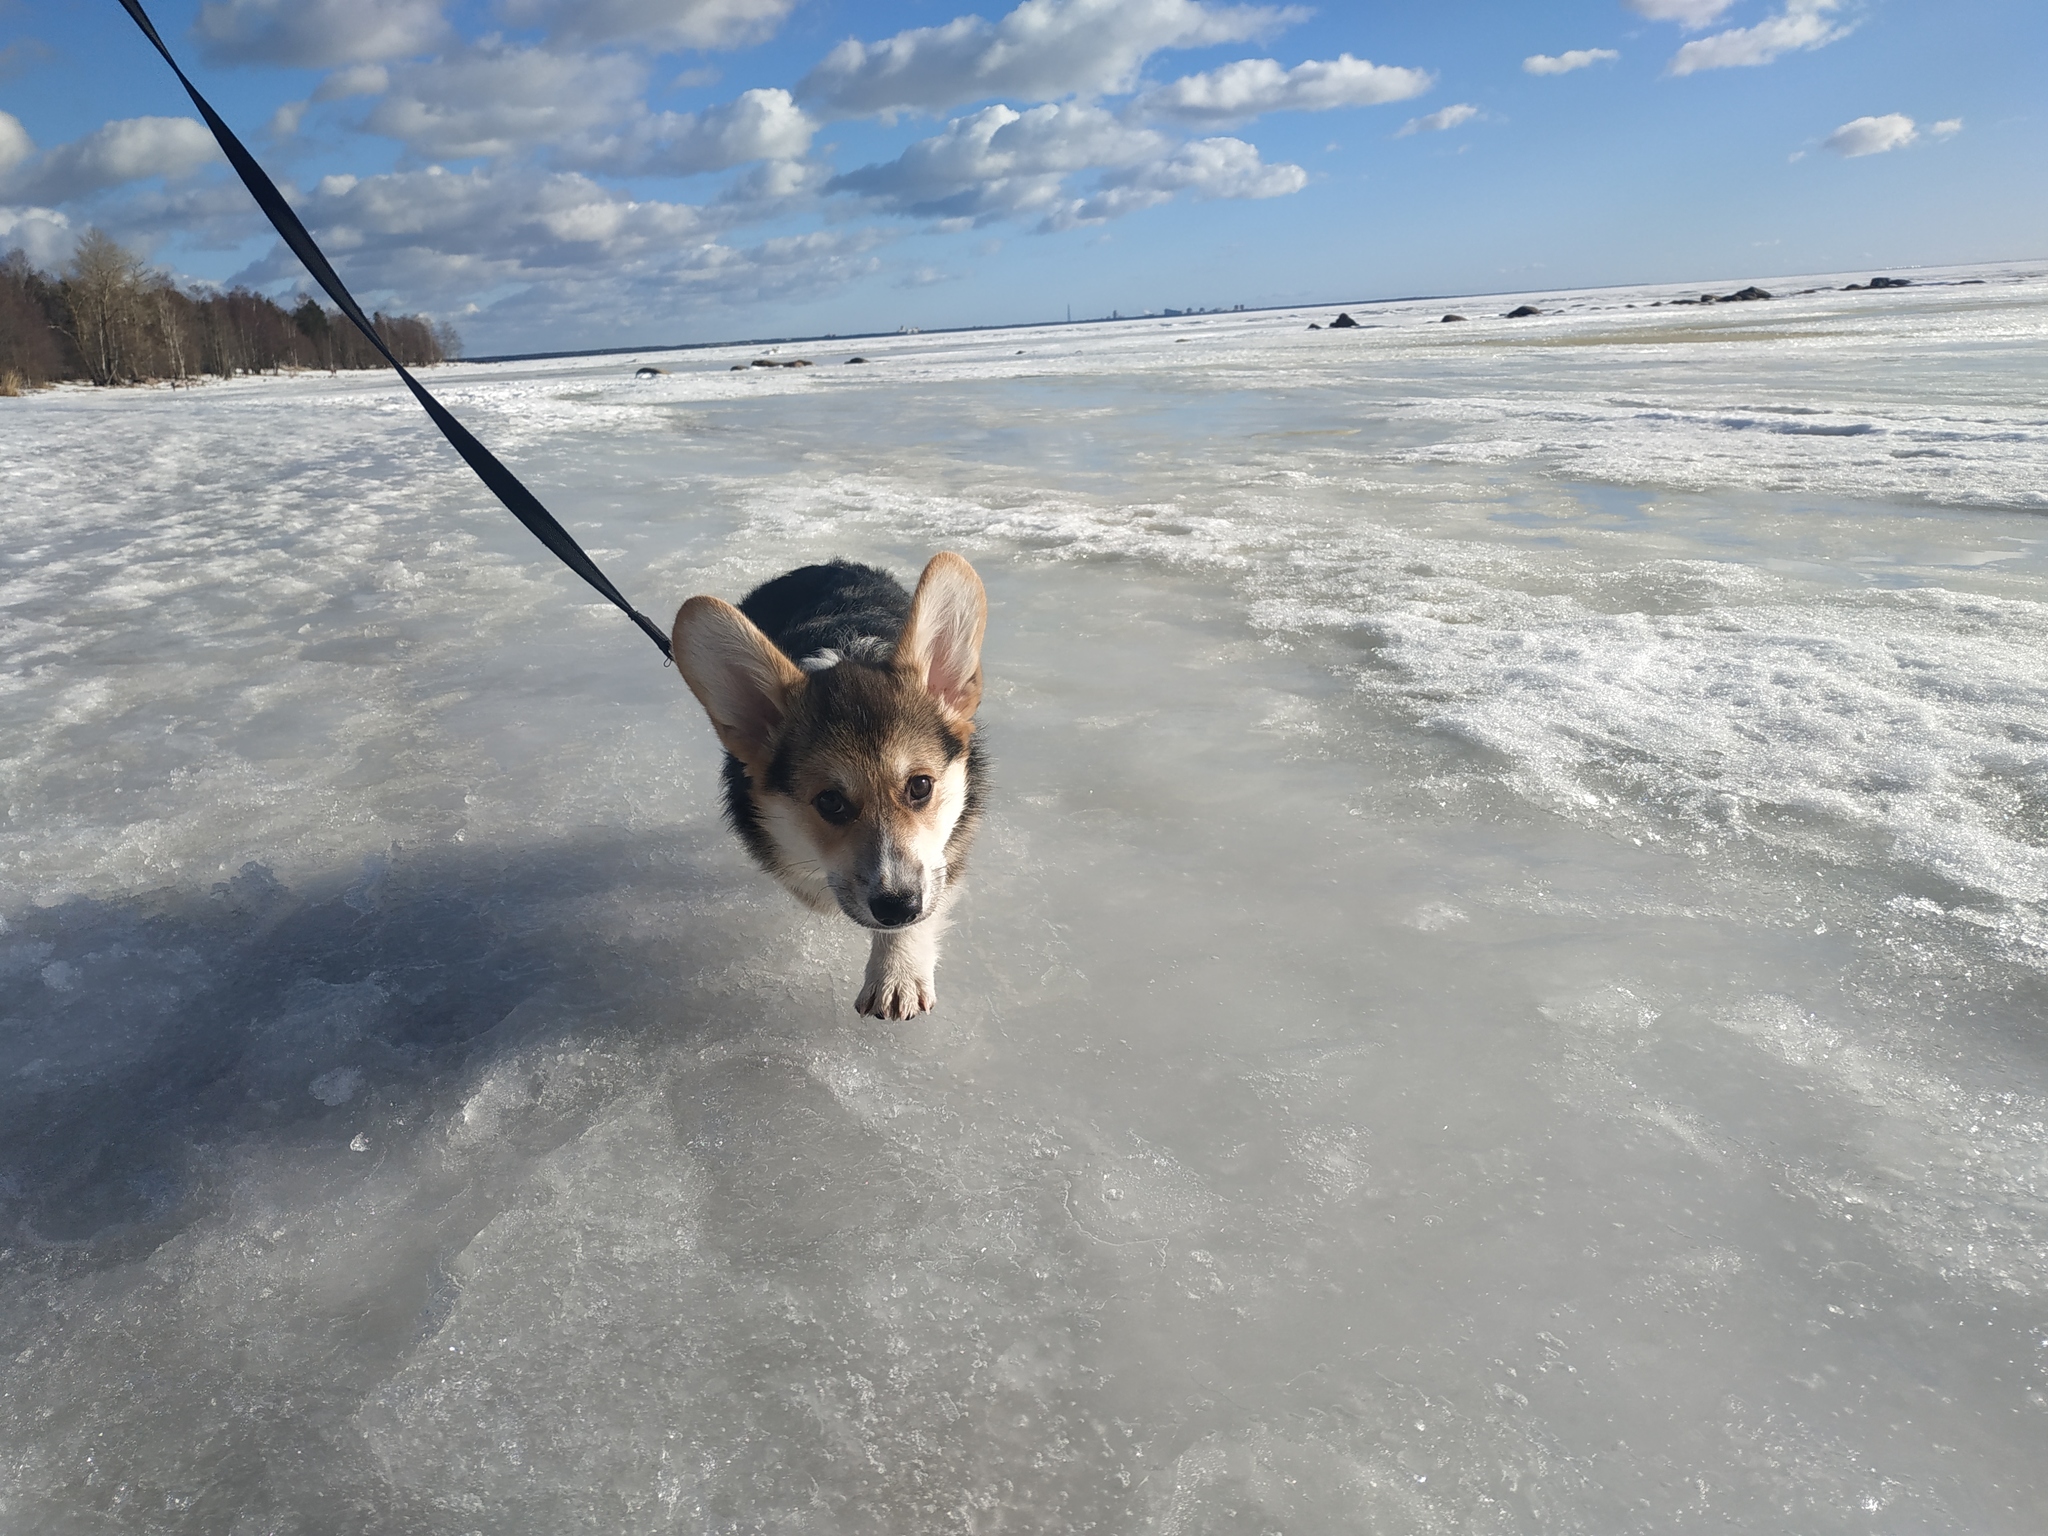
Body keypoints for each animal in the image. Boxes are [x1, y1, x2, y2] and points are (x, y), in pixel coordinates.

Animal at [675, 557, 987, 1024]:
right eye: (830, 802)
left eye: (920, 785)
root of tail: (825, 564)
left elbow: (931, 889)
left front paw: (896, 974)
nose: (897, 907)